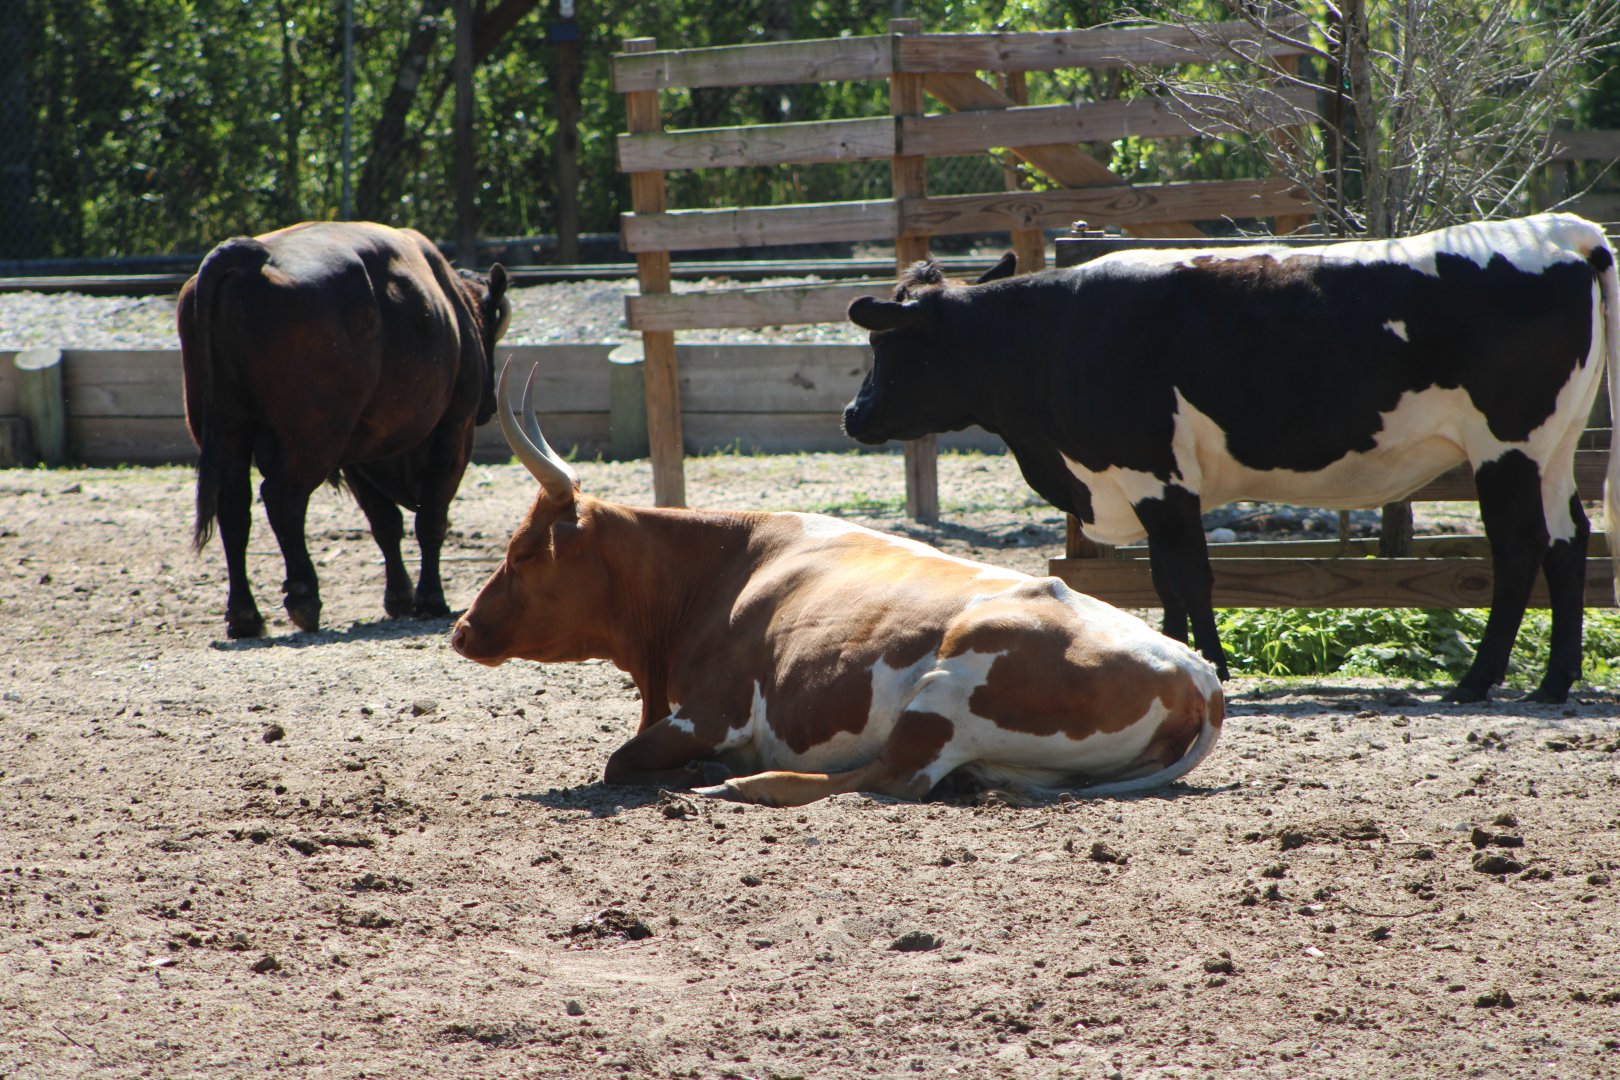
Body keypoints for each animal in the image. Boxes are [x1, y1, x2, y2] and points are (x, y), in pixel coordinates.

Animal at [178, 221, 510, 638]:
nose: (489, 403)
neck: (454, 305)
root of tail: (253, 254)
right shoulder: (454, 431)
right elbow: (430, 518)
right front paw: (429, 599)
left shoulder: (358, 455)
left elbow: (385, 523)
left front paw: (398, 598)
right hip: (314, 439)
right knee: (283, 498)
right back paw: (304, 599)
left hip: (229, 431)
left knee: (234, 507)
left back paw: (244, 617)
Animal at [449, 360, 1224, 807]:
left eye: (523, 552)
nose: (460, 628)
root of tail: (1197, 673)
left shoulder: (713, 711)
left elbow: (621, 760)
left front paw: (696, 771)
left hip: (943, 698)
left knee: (889, 776)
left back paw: (742, 782)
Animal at [843, 213, 1620, 706]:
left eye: (886, 344)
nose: (853, 414)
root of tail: (1566, 232)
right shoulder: (1157, 482)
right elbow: (1164, 580)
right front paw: (1167, 657)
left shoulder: (1153, 475)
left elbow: (1189, 576)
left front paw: (1210, 664)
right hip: (1552, 452)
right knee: (1568, 542)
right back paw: (1554, 682)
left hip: (1506, 448)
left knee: (1519, 550)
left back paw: (1478, 681)